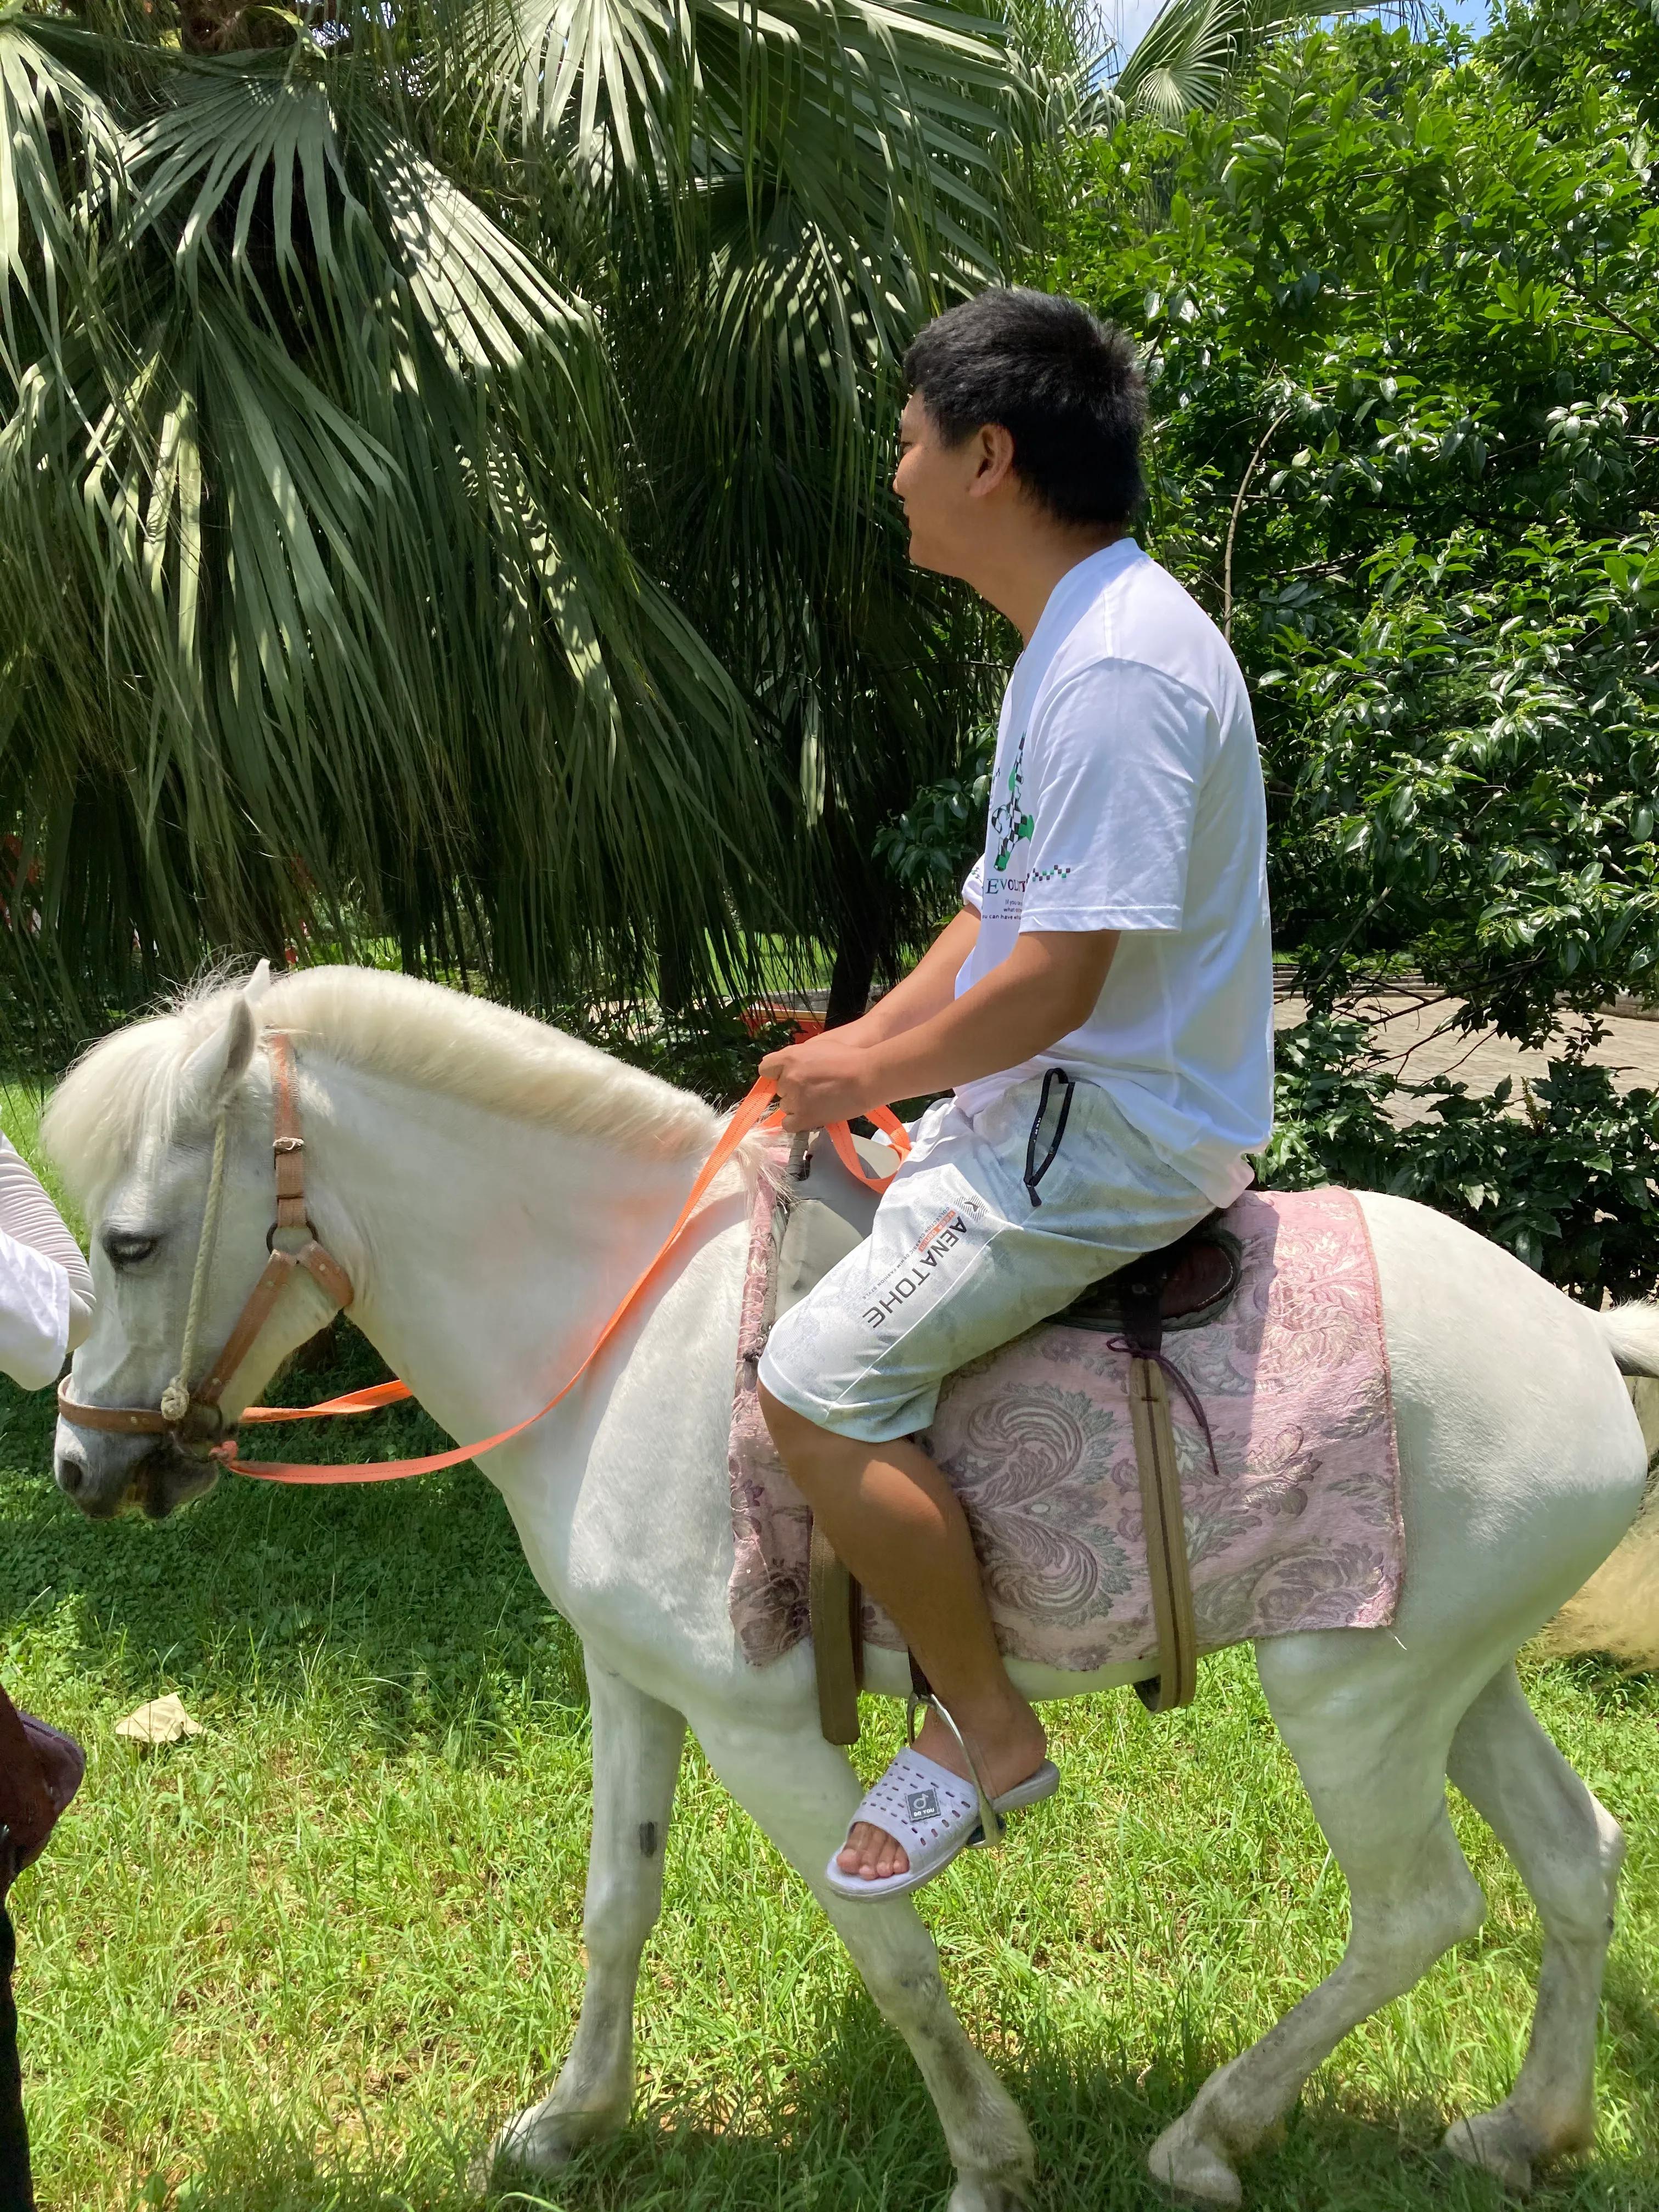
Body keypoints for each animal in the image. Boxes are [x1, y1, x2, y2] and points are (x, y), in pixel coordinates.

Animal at [42, 969, 1659, 2212]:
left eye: (131, 1242)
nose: (79, 1463)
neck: (624, 1329)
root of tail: (1574, 1330)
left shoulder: (760, 1731)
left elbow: (887, 1948)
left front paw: (989, 2160)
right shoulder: (633, 1683)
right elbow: (616, 1903)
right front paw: (567, 2125)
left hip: (1348, 1698)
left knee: (1417, 1910)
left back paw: (1212, 2134)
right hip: (1452, 1679)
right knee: (1575, 1858)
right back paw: (1527, 2131)